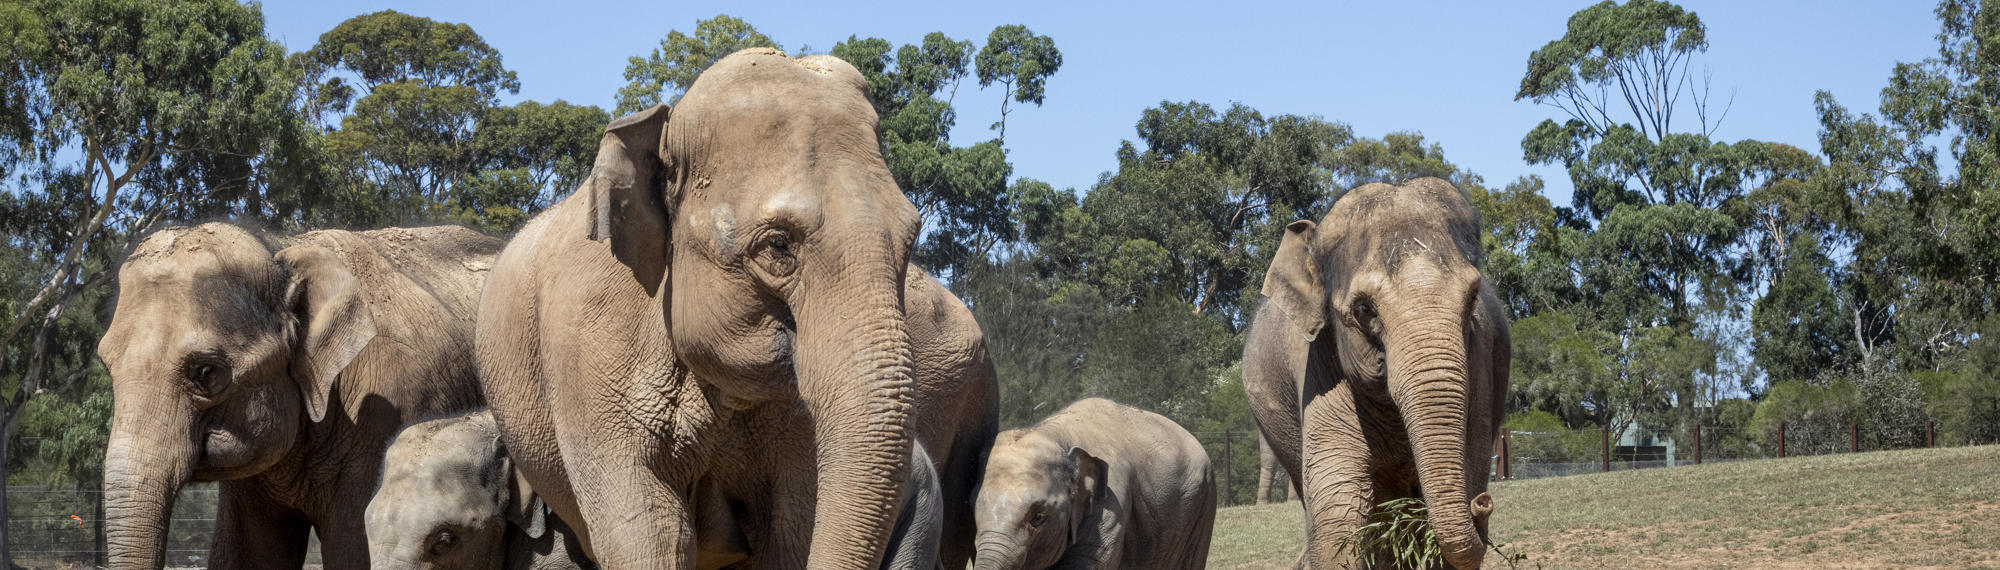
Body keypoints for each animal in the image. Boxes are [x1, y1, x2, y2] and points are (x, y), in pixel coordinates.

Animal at [97, 222, 502, 569]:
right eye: (106, 366)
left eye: (207, 373)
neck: (279, 248)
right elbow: (251, 557)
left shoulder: (387, 410)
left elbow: (353, 551)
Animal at [1243, 177, 1510, 569]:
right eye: (1365, 309)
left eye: (1473, 297)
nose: (1483, 503)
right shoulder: (1320, 368)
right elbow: (1337, 503)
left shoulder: (1480, 365)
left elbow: (1469, 463)